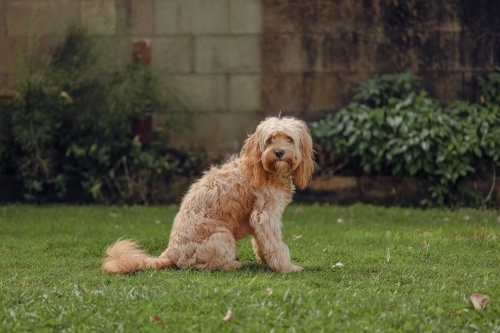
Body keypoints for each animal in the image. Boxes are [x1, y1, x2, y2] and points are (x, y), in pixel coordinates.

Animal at [101, 116, 312, 272]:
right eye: (269, 140)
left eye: (289, 139)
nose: (279, 152)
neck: (262, 167)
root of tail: (170, 252)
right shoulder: (264, 216)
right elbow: (276, 245)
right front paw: (286, 267)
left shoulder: (262, 220)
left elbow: (262, 242)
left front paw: (266, 259)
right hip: (224, 237)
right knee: (199, 266)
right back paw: (231, 265)